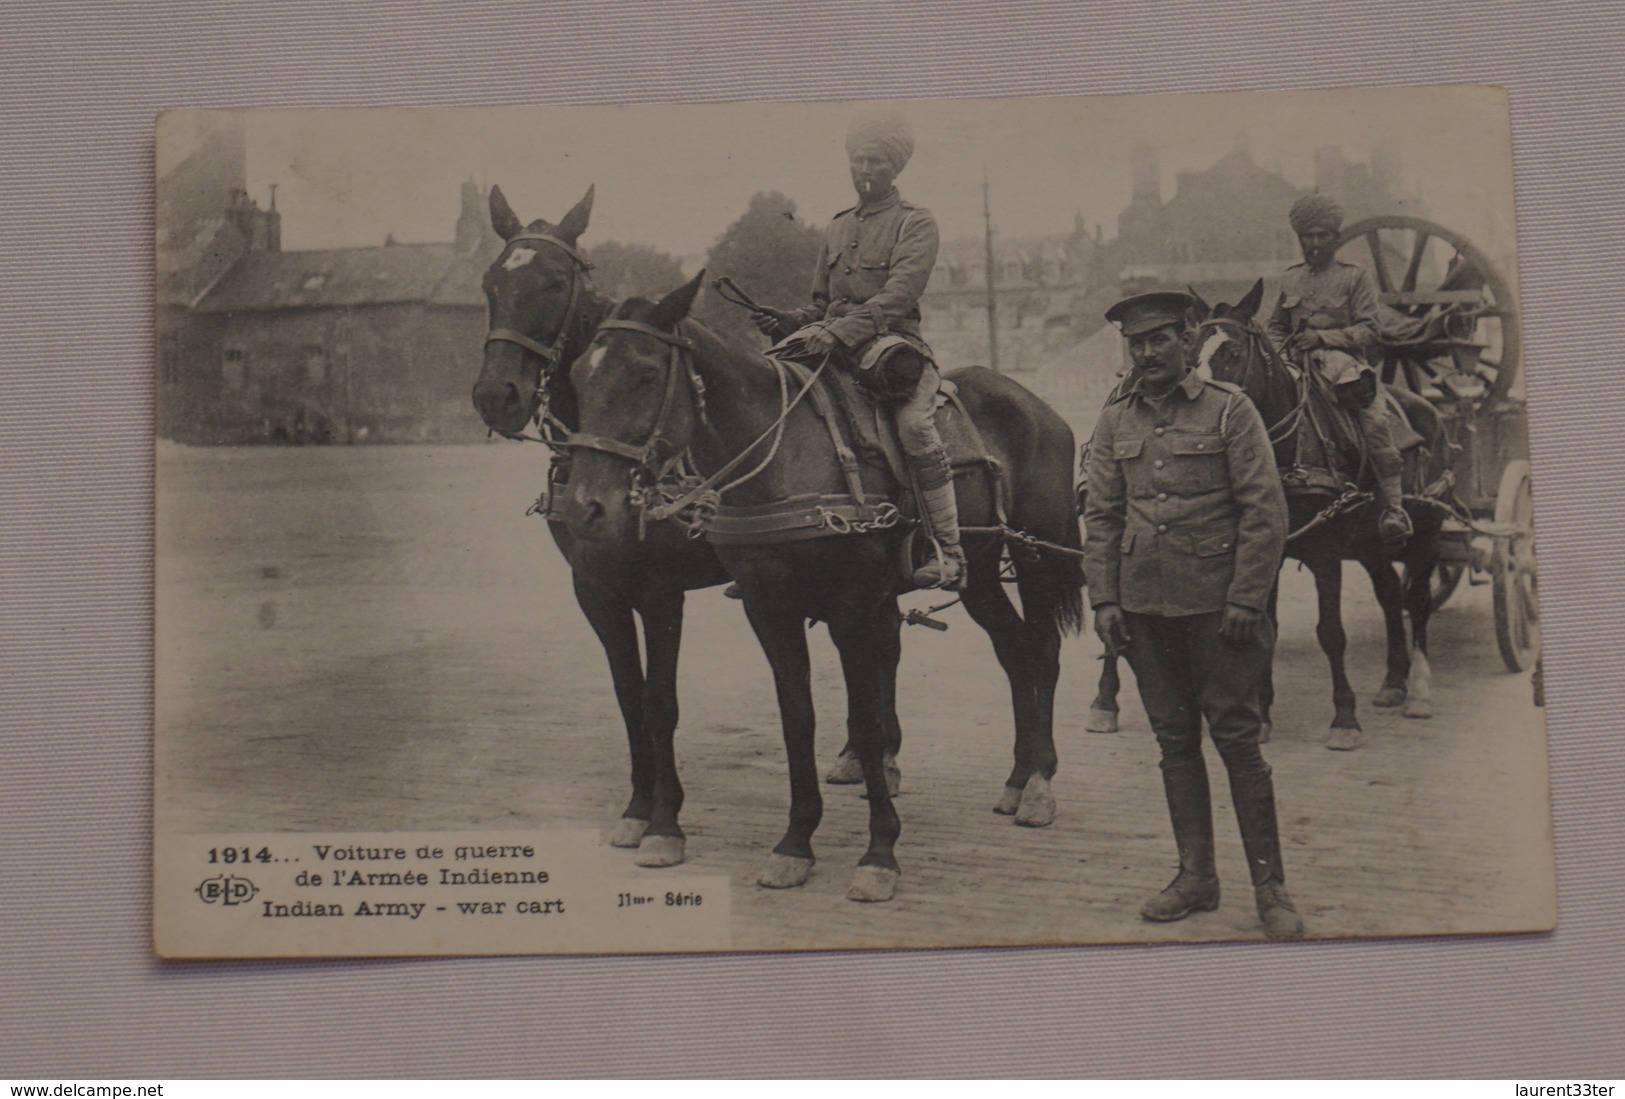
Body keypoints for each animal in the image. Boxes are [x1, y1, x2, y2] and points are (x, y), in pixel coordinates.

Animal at [468, 191, 728, 877]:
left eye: (555, 281)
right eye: (491, 281)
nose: (496, 394)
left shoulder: (661, 593)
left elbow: (660, 701)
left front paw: (665, 822)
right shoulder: (595, 589)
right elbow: (628, 694)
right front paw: (638, 808)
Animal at [565, 273, 1085, 903]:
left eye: (644, 373)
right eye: (578, 377)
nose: (587, 506)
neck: (784, 456)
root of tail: (1038, 406)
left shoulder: (851, 609)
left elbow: (864, 721)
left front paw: (880, 852)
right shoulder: (767, 609)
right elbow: (798, 716)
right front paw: (795, 843)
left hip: (1038, 556)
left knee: (1044, 652)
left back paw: (1039, 785)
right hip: (981, 573)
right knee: (1015, 651)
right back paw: (1016, 778)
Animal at [1183, 282, 1449, 747]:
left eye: (1232, 352)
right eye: (1193, 352)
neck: (1285, 453)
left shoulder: (1326, 554)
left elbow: (1331, 633)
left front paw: (1344, 719)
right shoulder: (1266, 552)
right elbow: (1264, 627)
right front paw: (1263, 714)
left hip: (1426, 536)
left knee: (1416, 603)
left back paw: (1418, 692)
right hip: (1371, 545)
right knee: (1389, 595)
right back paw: (1393, 683)